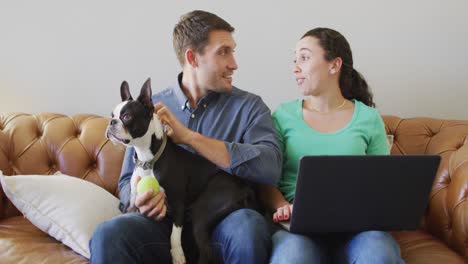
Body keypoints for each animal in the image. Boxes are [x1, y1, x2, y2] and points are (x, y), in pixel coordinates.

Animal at [106, 79, 256, 264]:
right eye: (112, 115)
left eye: (127, 117)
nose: (111, 122)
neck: (148, 159)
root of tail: (243, 186)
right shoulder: (134, 201)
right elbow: (130, 210)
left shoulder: (178, 204)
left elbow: (174, 234)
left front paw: (177, 254)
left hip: (203, 211)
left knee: (206, 251)